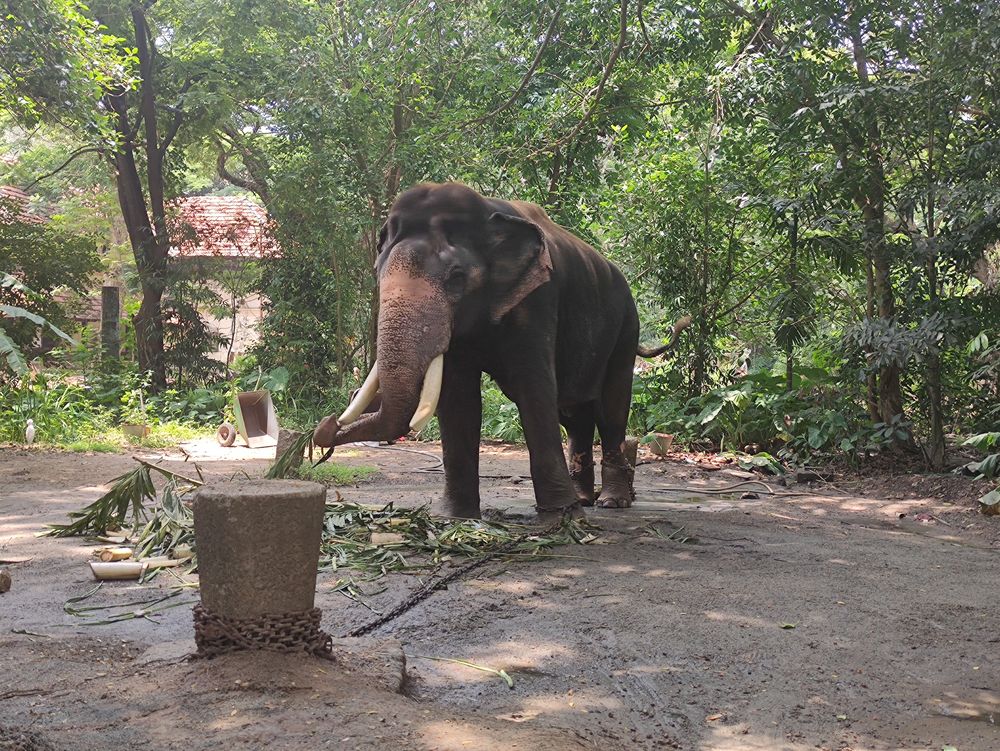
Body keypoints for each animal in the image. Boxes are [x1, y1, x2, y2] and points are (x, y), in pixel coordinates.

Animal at [314, 183, 688, 524]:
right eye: (378, 273)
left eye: (456, 277)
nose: (325, 426)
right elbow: (459, 399)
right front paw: (456, 518)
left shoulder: (537, 299)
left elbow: (533, 388)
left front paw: (560, 518)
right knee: (575, 416)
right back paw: (584, 498)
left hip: (626, 329)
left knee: (611, 410)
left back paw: (611, 502)